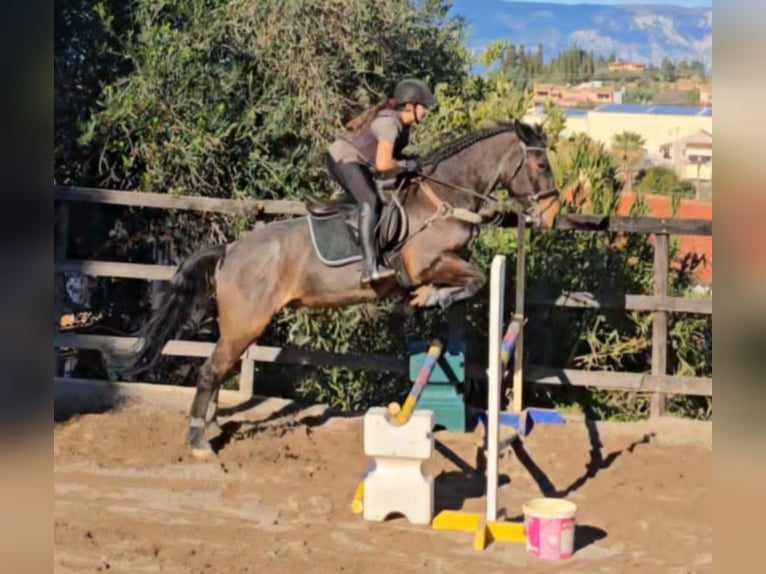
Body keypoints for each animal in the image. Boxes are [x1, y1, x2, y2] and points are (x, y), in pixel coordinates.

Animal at [111, 119, 560, 456]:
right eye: (540, 164)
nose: (552, 213)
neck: (443, 196)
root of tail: (230, 250)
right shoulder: (428, 263)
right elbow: (476, 279)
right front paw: (429, 297)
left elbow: (470, 282)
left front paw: (420, 302)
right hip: (246, 324)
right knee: (210, 371)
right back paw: (199, 438)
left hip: (239, 327)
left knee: (218, 370)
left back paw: (211, 426)